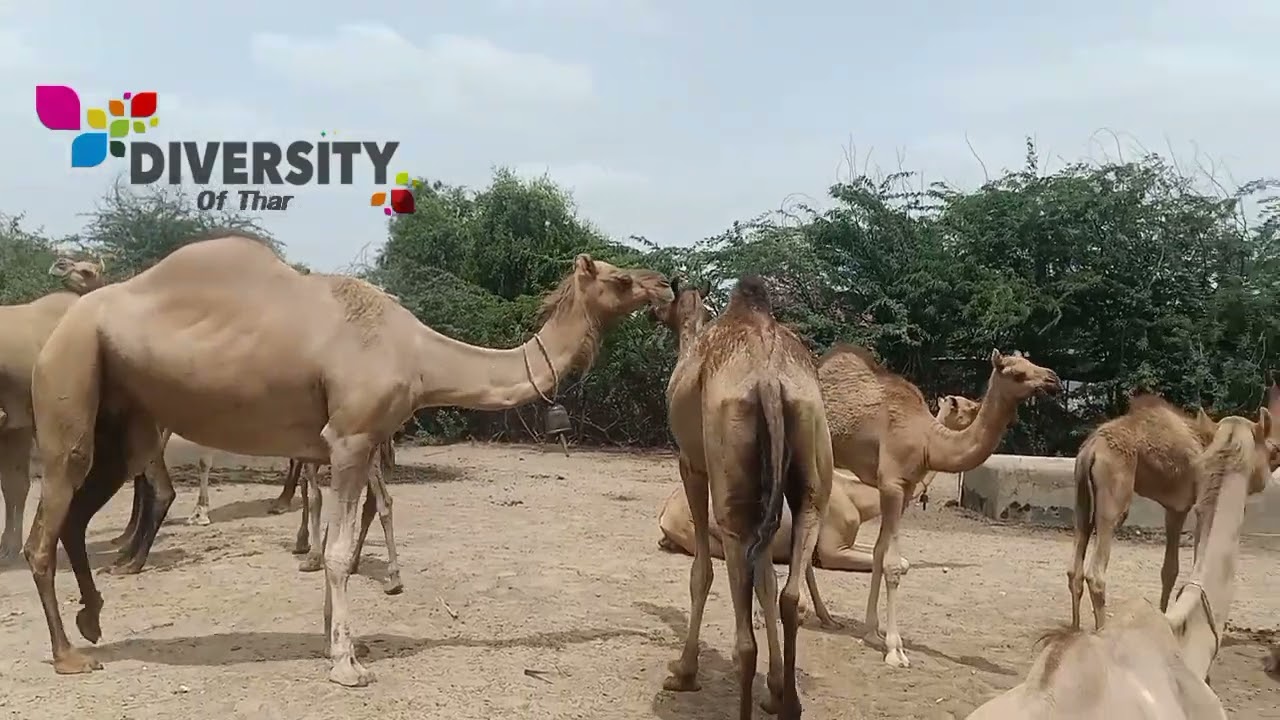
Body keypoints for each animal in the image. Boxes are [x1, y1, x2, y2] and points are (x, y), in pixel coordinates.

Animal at [22, 231, 673, 686]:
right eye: (618, 279)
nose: (665, 284)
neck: (419, 354)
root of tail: (64, 324)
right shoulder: (351, 438)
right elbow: (336, 555)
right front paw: (347, 663)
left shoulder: (338, 445)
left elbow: (336, 538)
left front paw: (331, 638)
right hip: (68, 380)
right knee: (43, 531)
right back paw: (68, 655)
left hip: (121, 416)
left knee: (76, 517)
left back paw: (93, 620)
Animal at [657, 394, 981, 570]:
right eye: (966, 407)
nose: (979, 402)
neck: (857, 499)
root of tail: (664, 513)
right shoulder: (831, 551)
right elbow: (902, 561)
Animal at [660, 276, 832, 720]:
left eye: (667, 299)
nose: (653, 310)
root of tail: (770, 381)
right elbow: (767, 582)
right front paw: (775, 690)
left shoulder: (691, 464)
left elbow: (701, 573)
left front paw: (683, 671)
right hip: (809, 474)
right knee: (791, 596)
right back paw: (790, 704)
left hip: (731, 494)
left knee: (744, 642)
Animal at [820, 343, 1061, 668]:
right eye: (1016, 372)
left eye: (1031, 363)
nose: (1053, 379)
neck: (928, 442)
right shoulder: (892, 482)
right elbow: (893, 564)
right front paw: (895, 650)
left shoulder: (905, 488)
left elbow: (879, 554)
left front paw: (873, 634)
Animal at [1065, 391, 1234, 631]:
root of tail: (1091, 450)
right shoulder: (1194, 503)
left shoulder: (1175, 509)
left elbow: (1169, 569)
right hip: (1114, 493)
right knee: (1096, 572)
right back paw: (1102, 628)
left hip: (1081, 492)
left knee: (1075, 565)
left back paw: (1075, 628)